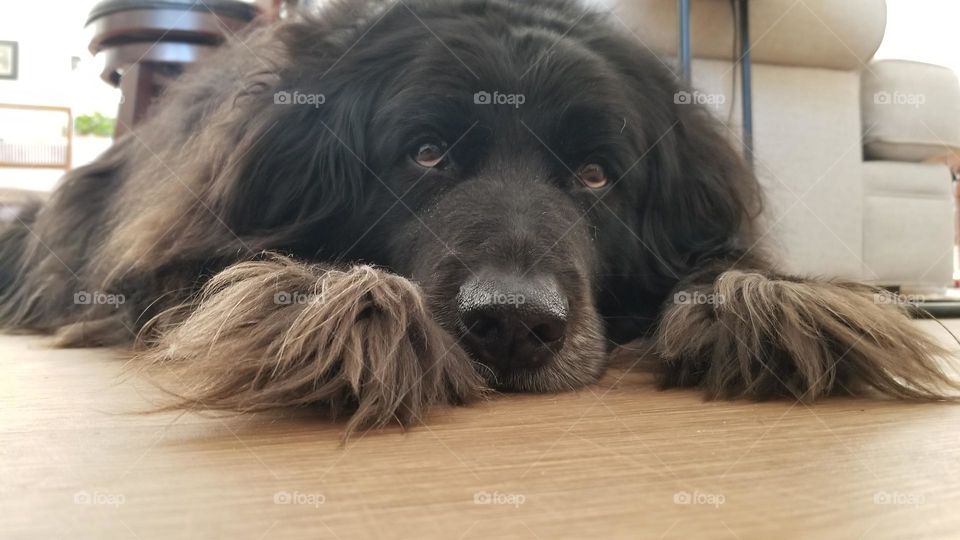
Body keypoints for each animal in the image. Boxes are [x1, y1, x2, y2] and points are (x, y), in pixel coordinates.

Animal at [0, 0, 952, 430]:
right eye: (425, 154)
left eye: (597, 175)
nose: (514, 325)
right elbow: (227, 277)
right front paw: (344, 310)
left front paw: (777, 301)